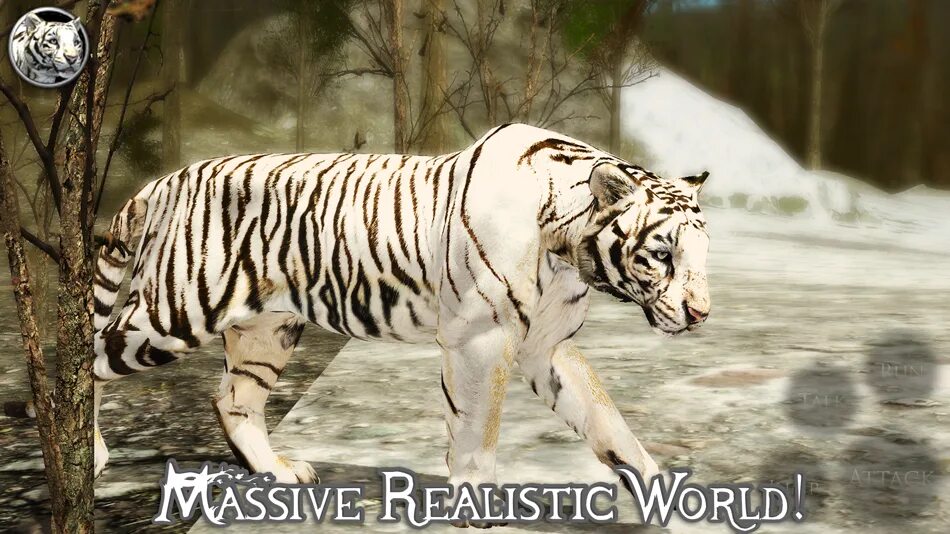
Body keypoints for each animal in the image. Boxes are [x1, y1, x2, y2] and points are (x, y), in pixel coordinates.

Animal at [92, 123, 711, 502]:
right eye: (661, 254)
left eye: (702, 252)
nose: (702, 313)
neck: (568, 253)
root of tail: (165, 180)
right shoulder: (481, 339)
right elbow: (476, 429)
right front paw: (476, 504)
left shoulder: (546, 346)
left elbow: (607, 422)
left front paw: (660, 493)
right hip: (172, 314)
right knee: (89, 355)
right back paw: (90, 451)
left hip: (267, 330)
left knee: (232, 397)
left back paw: (277, 471)